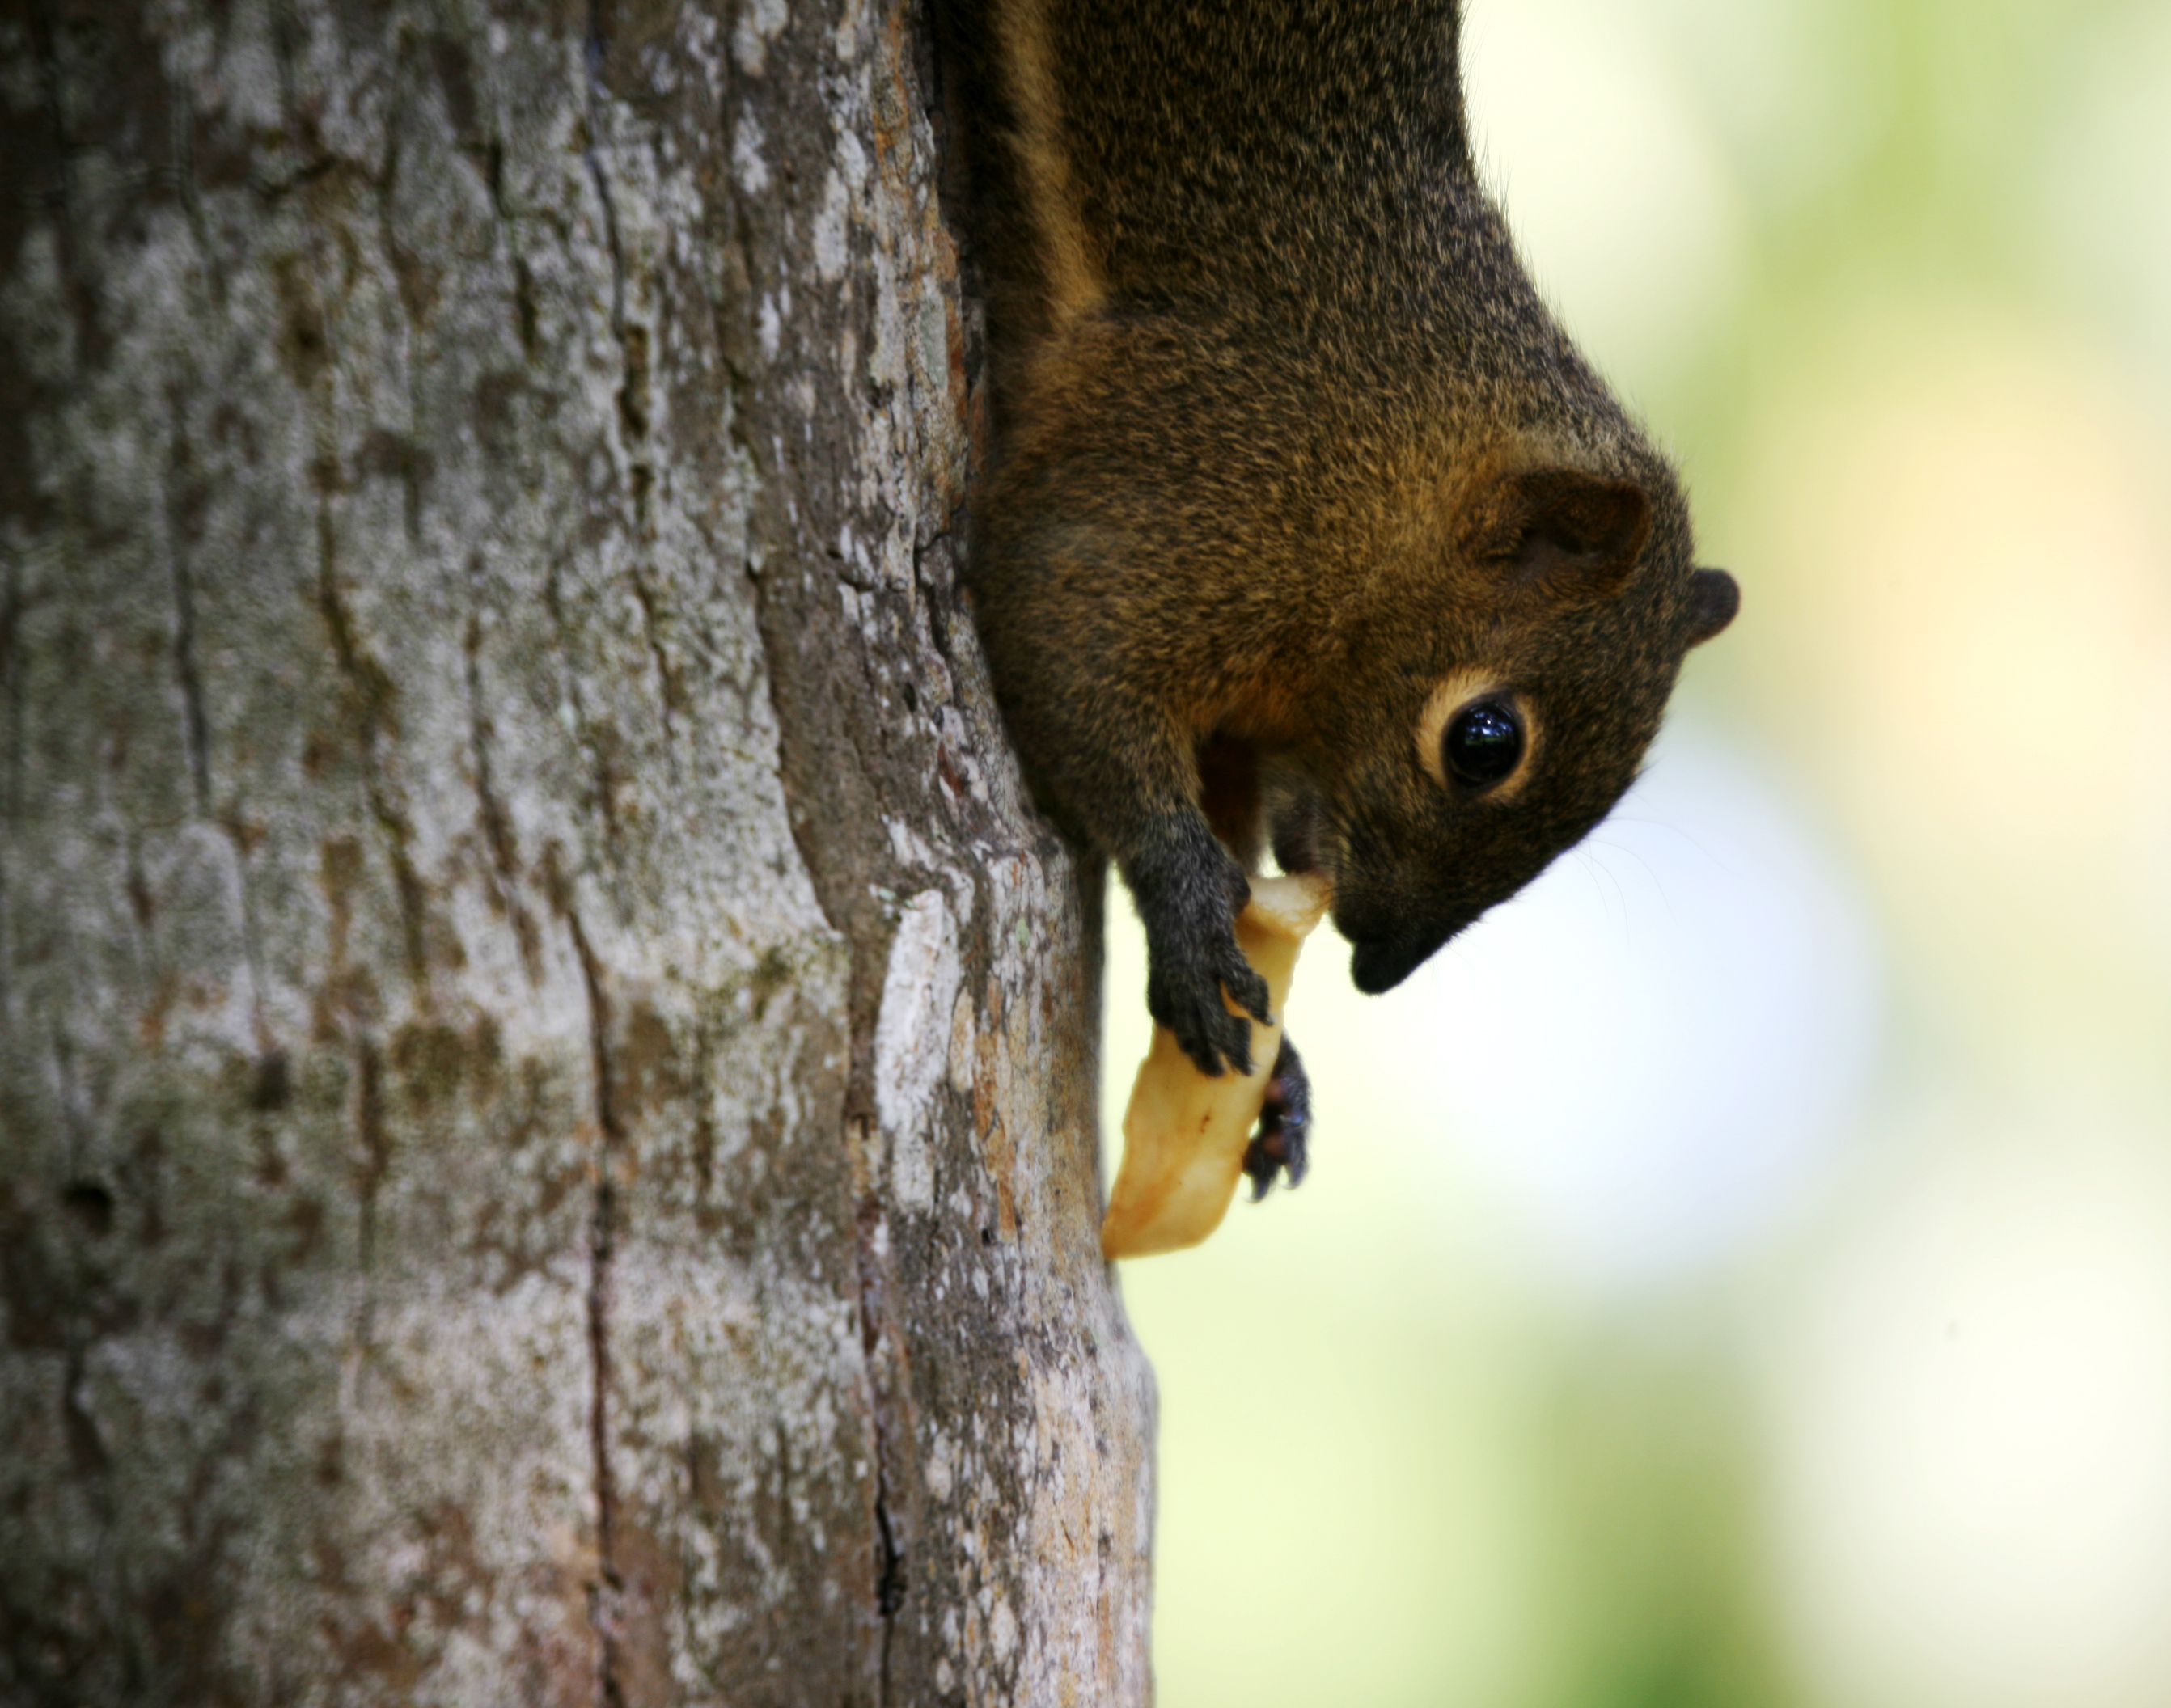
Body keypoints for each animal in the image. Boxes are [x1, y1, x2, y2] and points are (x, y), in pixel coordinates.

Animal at [933, 0, 1728, 1207]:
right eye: (1485, 742)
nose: (1378, 969)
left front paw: (1284, 1074)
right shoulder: (1189, 481)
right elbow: (1061, 640)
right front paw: (1186, 909)